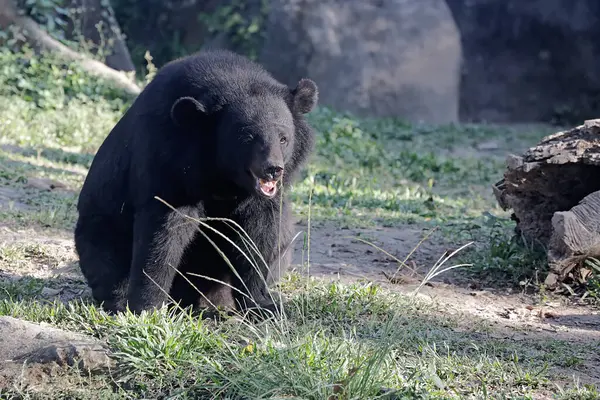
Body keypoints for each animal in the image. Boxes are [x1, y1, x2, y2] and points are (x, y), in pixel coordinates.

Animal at [74, 49, 318, 316]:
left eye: (283, 138)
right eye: (247, 137)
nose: (273, 170)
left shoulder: (260, 200)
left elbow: (258, 237)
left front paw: (262, 305)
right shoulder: (168, 155)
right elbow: (164, 230)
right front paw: (145, 307)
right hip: (100, 222)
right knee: (106, 255)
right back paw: (119, 299)